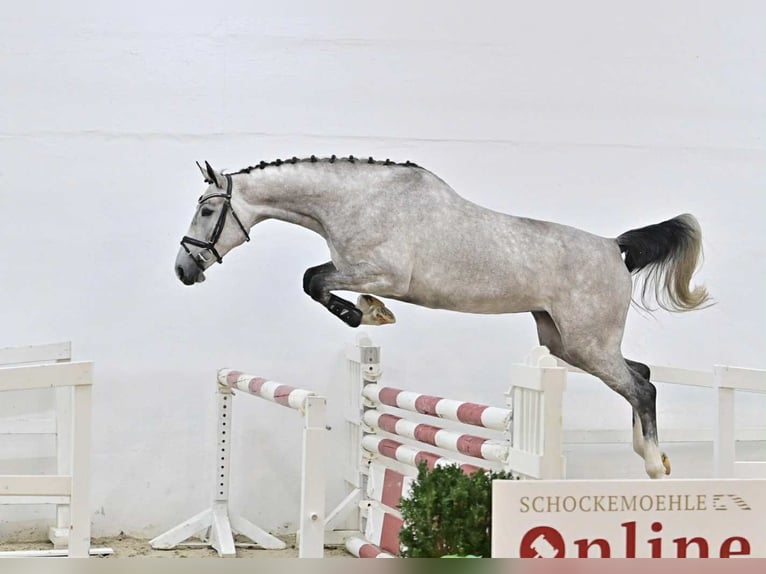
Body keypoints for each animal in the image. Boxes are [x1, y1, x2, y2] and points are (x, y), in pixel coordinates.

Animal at [174, 155, 710, 479]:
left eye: (206, 211)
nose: (182, 270)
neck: (356, 202)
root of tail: (613, 247)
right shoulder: (358, 268)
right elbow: (315, 279)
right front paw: (368, 311)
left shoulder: (383, 273)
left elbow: (313, 280)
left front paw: (367, 313)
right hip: (564, 343)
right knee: (641, 374)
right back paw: (649, 453)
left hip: (588, 344)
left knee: (641, 387)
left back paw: (655, 466)